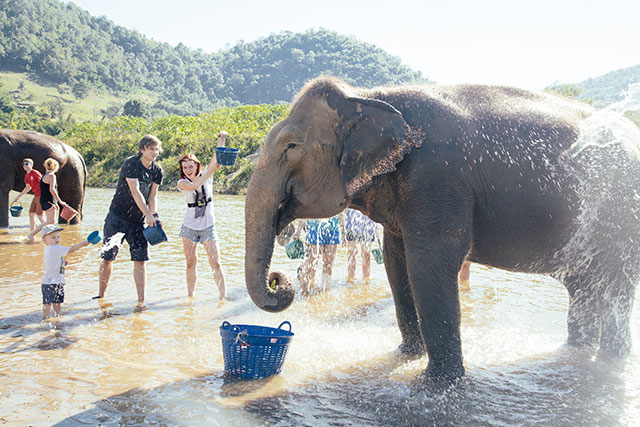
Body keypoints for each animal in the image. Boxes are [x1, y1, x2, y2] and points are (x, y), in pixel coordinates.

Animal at [244, 76, 640, 382]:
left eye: (291, 147)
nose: (279, 280)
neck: (369, 96)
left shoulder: (437, 174)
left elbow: (430, 263)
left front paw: (436, 384)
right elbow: (397, 262)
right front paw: (406, 355)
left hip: (622, 218)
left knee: (616, 286)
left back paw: (610, 361)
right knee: (586, 289)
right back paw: (576, 352)